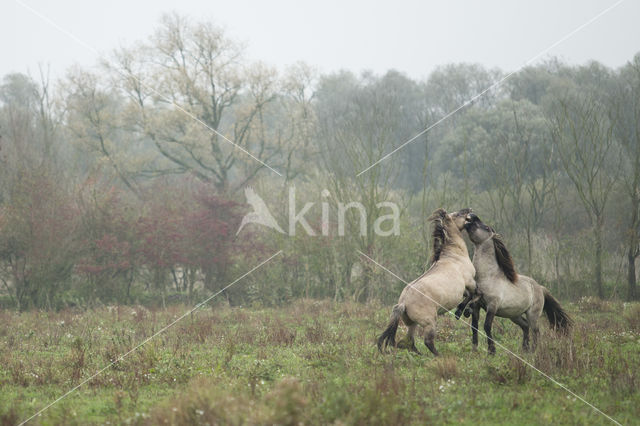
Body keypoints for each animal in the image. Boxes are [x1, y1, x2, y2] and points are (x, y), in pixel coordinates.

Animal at [378, 208, 478, 354]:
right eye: (458, 214)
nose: (469, 210)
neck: (454, 255)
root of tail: (403, 303)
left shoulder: (465, 288)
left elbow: (469, 296)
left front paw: (461, 312)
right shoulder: (470, 282)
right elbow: (473, 295)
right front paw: (461, 312)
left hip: (412, 323)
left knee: (407, 342)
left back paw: (419, 354)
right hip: (430, 322)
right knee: (427, 341)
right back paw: (438, 356)